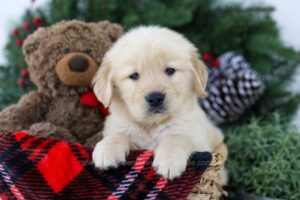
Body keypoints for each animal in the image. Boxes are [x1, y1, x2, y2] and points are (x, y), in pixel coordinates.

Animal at [92, 25, 226, 180]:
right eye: (134, 75)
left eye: (170, 70)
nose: (155, 98)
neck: (152, 124)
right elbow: (119, 134)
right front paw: (107, 149)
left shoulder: (200, 142)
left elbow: (176, 136)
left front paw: (169, 160)